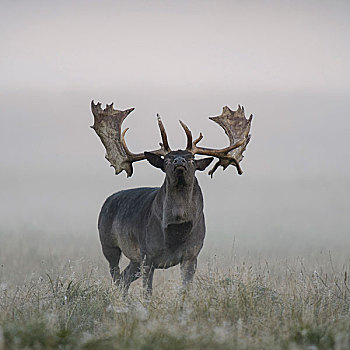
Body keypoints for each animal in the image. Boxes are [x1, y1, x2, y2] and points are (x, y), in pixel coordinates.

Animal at [90, 102, 253, 296]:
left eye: (192, 160)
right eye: (166, 161)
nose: (179, 161)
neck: (176, 231)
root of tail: (107, 200)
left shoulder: (192, 254)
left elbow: (185, 290)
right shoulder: (147, 255)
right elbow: (147, 293)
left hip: (134, 259)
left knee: (124, 278)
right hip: (108, 244)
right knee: (116, 277)